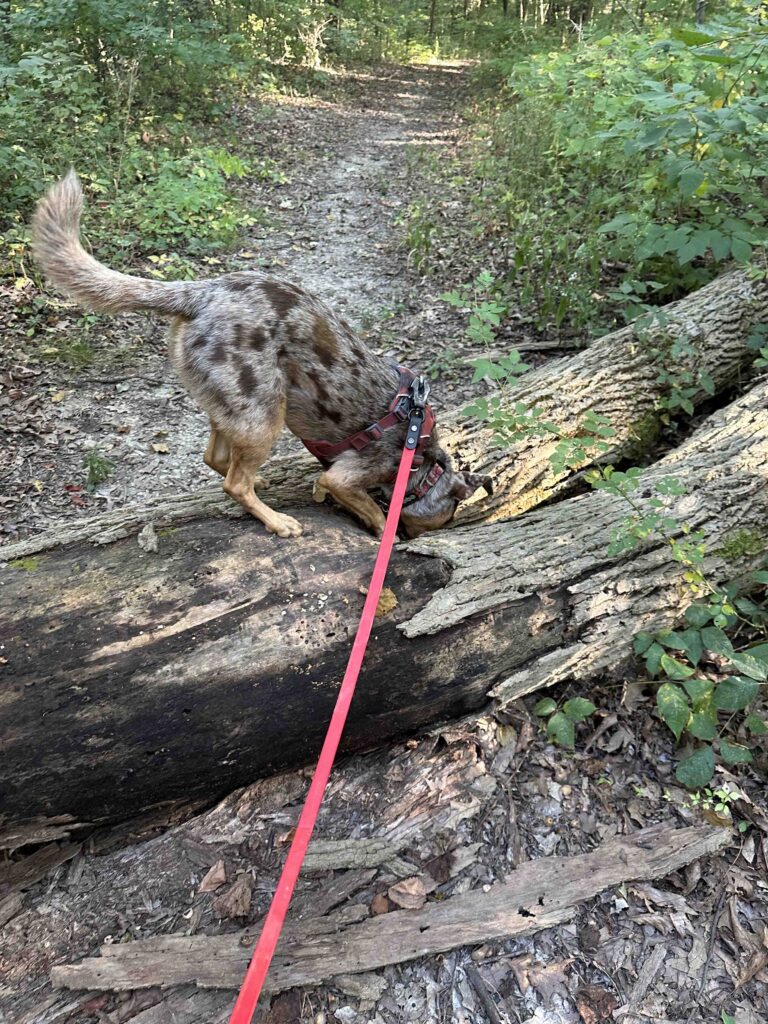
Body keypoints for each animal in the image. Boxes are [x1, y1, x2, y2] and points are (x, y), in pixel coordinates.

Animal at [31, 172, 493, 540]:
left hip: (238, 408)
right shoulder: (345, 475)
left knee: (216, 459)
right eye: (446, 516)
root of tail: (201, 291)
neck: (422, 460)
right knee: (234, 483)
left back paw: (262, 486)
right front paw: (386, 534)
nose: (419, 536)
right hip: (264, 416)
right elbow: (368, 508)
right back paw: (277, 521)